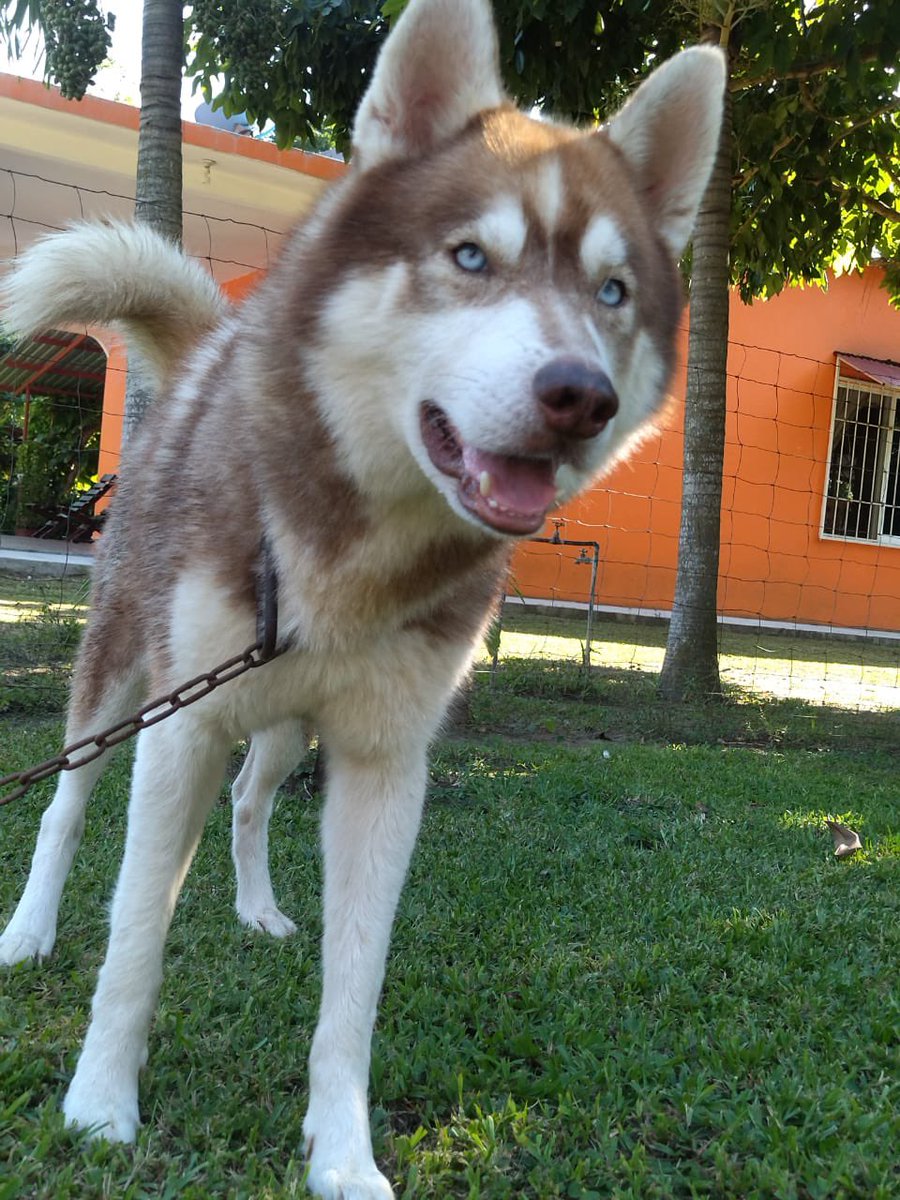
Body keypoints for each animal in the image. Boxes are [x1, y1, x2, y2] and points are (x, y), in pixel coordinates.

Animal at [0, 0, 724, 1194]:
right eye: (471, 256)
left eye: (613, 293)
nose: (580, 396)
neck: (355, 543)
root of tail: (200, 363)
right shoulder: (183, 725)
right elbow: (136, 936)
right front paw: (101, 1104)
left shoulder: (386, 761)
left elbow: (354, 992)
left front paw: (341, 1151)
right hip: (124, 669)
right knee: (67, 800)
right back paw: (27, 932)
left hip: (287, 718)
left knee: (252, 802)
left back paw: (255, 907)